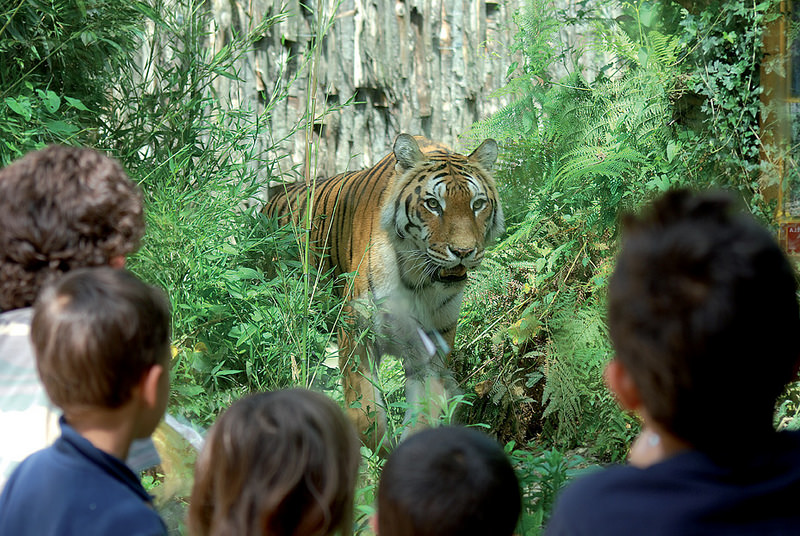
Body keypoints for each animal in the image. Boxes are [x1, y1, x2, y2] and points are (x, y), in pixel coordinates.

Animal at [262, 134, 504, 452]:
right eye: (433, 204)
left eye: (478, 204)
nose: (463, 252)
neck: (420, 281)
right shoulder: (357, 331)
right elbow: (366, 415)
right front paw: (376, 452)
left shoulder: (431, 348)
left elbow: (423, 415)